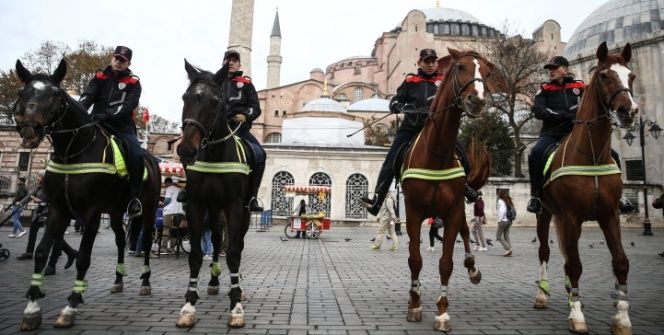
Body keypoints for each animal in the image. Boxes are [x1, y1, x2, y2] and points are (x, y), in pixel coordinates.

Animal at [13, 59, 161, 330]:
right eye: (22, 92)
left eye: (55, 94)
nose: (29, 129)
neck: (74, 152)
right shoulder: (58, 209)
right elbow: (41, 251)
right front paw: (32, 308)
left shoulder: (91, 213)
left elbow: (83, 258)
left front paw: (71, 305)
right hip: (116, 211)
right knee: (121, 240)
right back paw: (118, 279)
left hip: (148, 208)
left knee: (144, 242)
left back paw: (145, 282)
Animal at [174, 59, 252, 328]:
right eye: (185, 97)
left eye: (216, 102)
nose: (186, 149)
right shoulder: (196, 204)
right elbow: (196, 254)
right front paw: (188, 305)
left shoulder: (235, 205)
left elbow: (234, 253)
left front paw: (236, 306)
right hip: (214, 208)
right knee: (217, 238)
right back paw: (215, 280)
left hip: (244, 210)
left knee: (236, 243)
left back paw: (238, 287)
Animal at [402, 48, 506, 332]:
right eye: (460, 67)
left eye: (487, 71)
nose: (477, 100)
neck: (436, 153)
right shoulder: (413, 212)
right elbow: (415, 259)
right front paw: (415, 304)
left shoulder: (451, 211)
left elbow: (446, 263)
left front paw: (442, 312)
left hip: (459, 207)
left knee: (467, 231)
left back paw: (473, 268)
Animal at [532, 43, 636, 334]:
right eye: (603, 76)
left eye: (631, 76)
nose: (628, 111)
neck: (591, 154)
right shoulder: (570, 215)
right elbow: (575, 264)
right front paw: (577, 316)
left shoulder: (609, 215)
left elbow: (621, 262)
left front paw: (621, 318)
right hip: (546, 213)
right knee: (546, 251)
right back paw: (543, 294)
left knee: (567, 253)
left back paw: (570, 294)